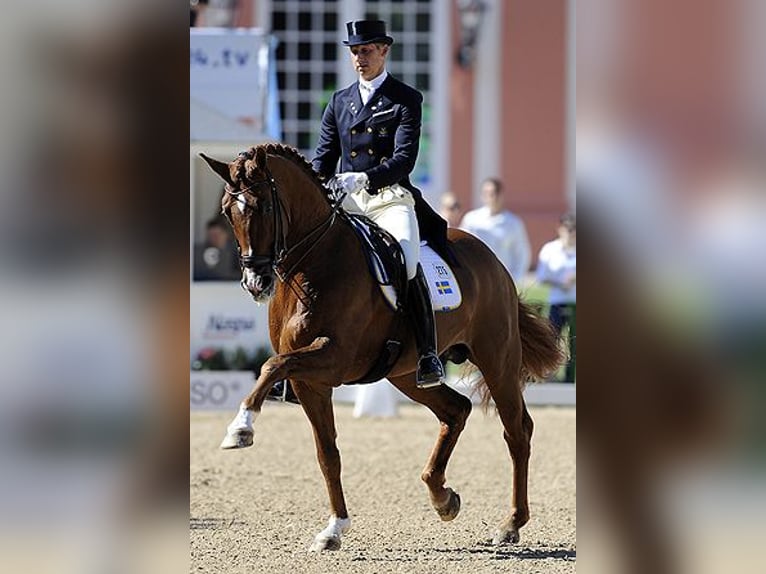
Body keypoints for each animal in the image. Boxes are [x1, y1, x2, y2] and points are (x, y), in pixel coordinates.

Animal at [202, 144, 564, 552]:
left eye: (262, 206)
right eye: (227, 211)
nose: (255, 281)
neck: (315, 262)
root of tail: (493, 259)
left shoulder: (333, 359)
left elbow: (271, 365)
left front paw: (240, 428)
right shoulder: (311, 382)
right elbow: (327, 453)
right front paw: (334, 529)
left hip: (497, 358)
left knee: (517, 431)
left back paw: (511, 523)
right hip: (405, 373)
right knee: (456, 410)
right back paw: (443, 497)